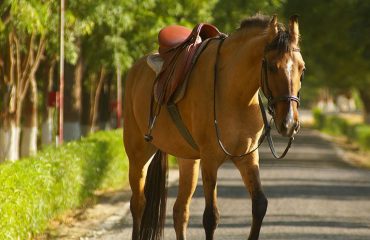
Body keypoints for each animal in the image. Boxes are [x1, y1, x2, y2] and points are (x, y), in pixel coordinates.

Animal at [123, 14, 304, 240]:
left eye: (302, 68)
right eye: (272, 67)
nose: (289, 123)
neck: (234, 93)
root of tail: (135, 70)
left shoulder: (247, 157)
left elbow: (259, 205)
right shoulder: (210, 160)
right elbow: (211, 217)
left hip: (188, 160)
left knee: (180, 210)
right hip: (138, 156)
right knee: (138, 204)